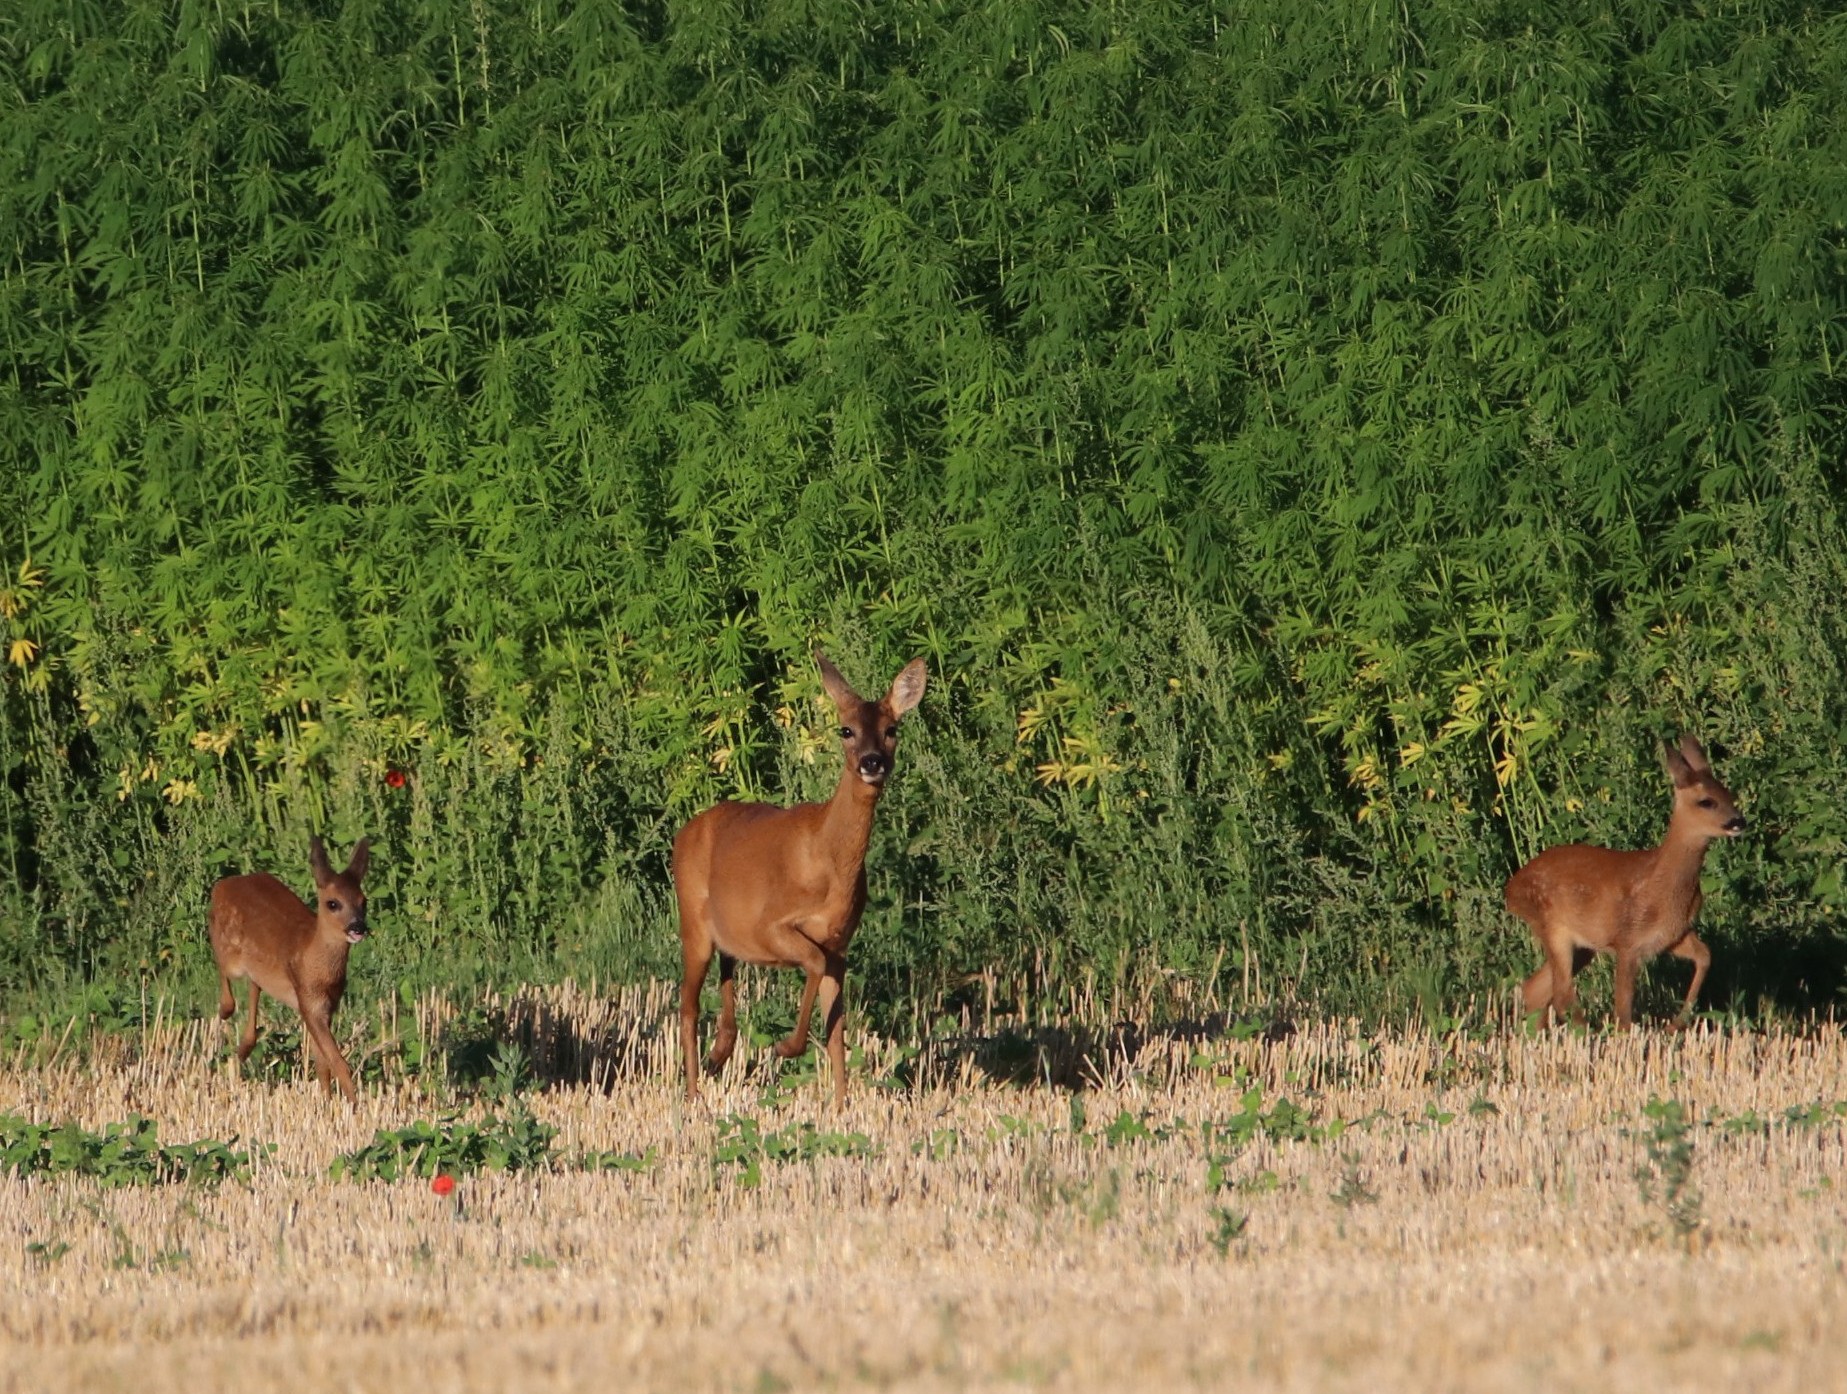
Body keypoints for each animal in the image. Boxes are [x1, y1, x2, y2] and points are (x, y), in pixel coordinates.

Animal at [208, 835, 371, 1102]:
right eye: (333, 903)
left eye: (363, 902)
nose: (358, 927)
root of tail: (222, 885)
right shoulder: (308, 1001)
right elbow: (338, 1063)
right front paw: (353, 1105)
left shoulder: (325, 1007)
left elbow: (322, 1064)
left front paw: (327, 1102)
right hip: (229, 953)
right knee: (223, 965)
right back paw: (225, 1010)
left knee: (254, 984)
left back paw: (244, 1047)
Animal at [672, 651, 927, 1107]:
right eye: (846, 729)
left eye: (892, 729)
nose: (872, 762)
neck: (828, 861)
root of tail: (682, 833)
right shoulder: (771, 924)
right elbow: (812, 963)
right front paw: (785, 1047)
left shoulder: (839, 945)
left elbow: (837, 1029)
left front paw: (841, 1105)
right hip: (693, 921)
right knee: (687, 1004)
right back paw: (693, 1093)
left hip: (724, 929)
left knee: (725, 970)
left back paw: (719, 1054)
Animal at [1505, 733, 1746, 1029]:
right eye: (1707, 801)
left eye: (1729, 795)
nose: (1738, 822)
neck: (1663, 885)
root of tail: (1511, 889)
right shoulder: (1627, 941)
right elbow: (1623, 1008)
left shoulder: (1672, 935)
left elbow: (1705, 955)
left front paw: (1676, 1024)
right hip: (1551, 926)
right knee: (1561, 994)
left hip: (1582, 945)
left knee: (1536, 989)